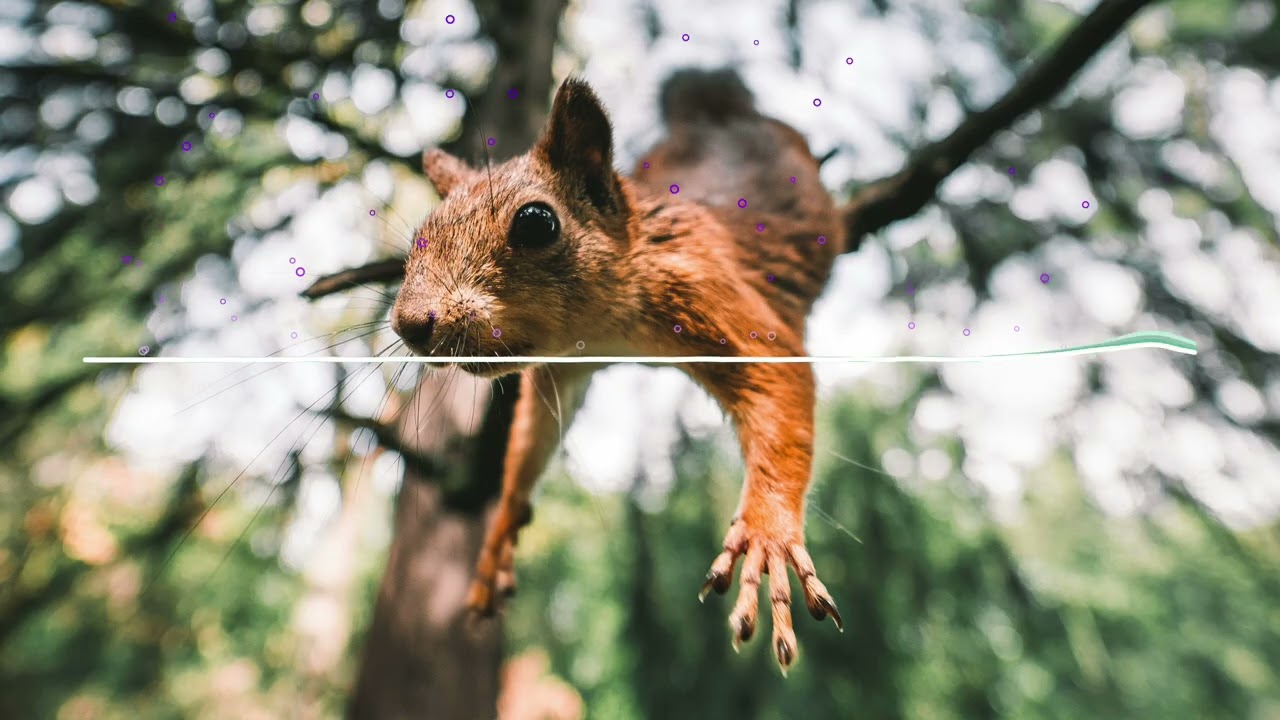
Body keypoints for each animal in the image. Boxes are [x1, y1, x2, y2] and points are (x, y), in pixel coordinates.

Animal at [391, 67, 852, 674]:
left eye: (536, 223)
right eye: (420, 233)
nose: (408, 323)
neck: (607, 325)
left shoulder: (706, 289)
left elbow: (780, 378)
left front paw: (767, 535)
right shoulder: (561, 368)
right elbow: (533, 436)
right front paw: (500, 528)